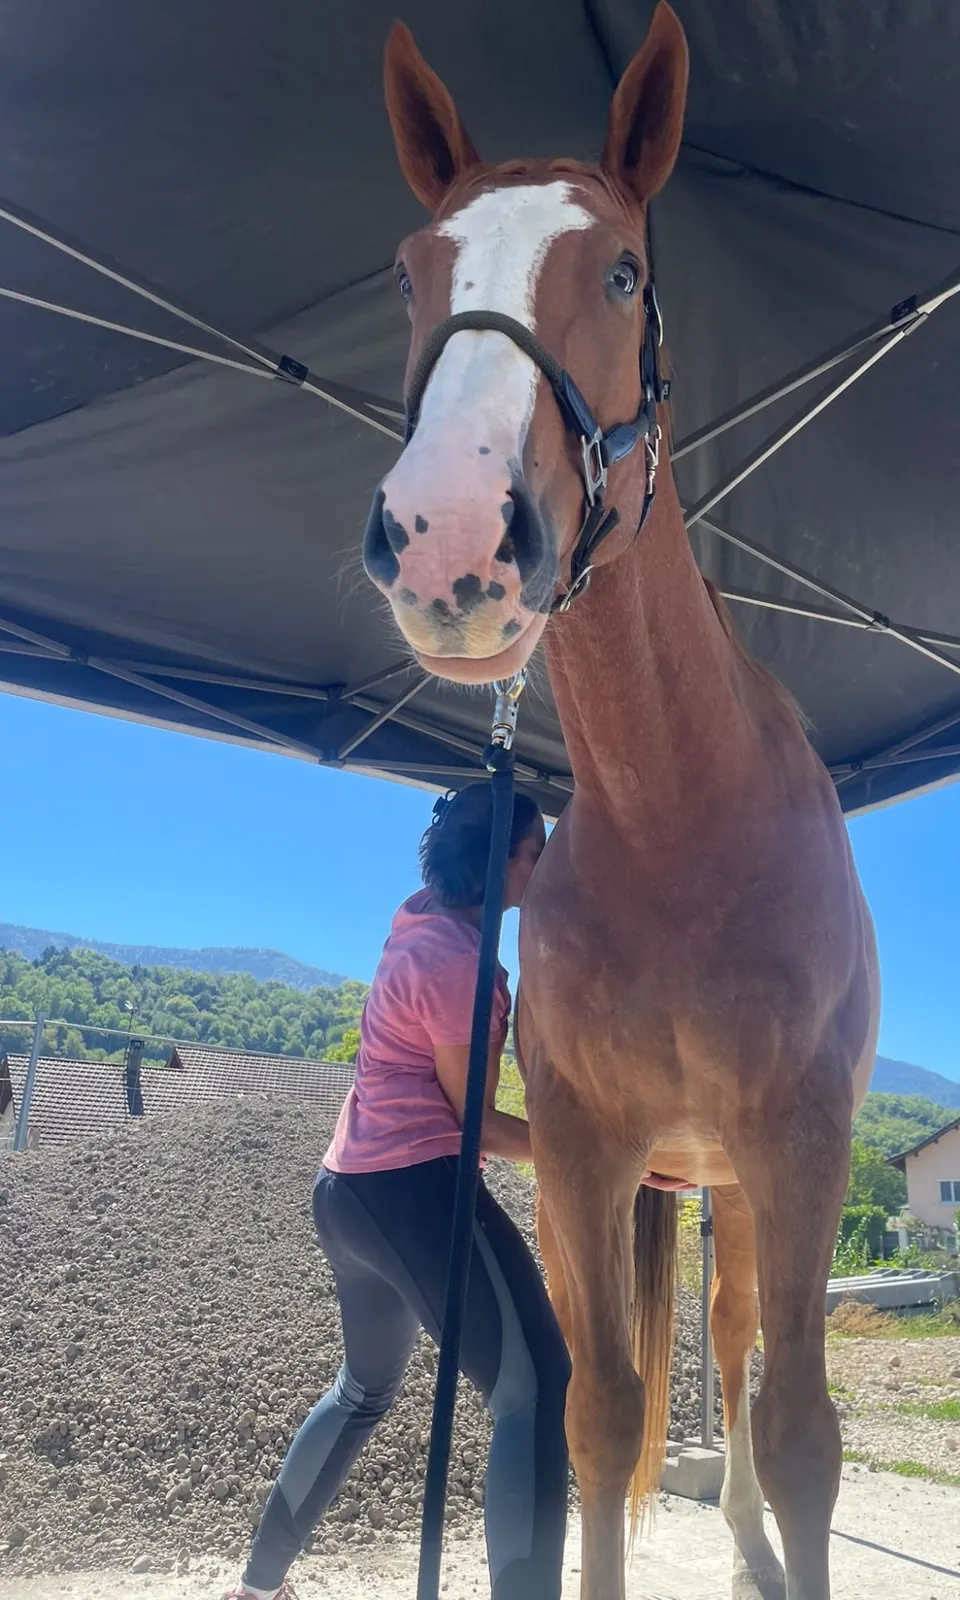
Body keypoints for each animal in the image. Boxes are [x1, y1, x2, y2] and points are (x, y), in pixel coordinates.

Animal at [364, 8, 880, 1598]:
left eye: (624, 271)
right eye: (410, 272)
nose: (446, 542)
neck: (680, 822)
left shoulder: (803, 1138)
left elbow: (803, 1434)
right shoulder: (586, 1150)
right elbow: (597, 1414)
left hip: (742, 1184)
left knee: (746, 1357)